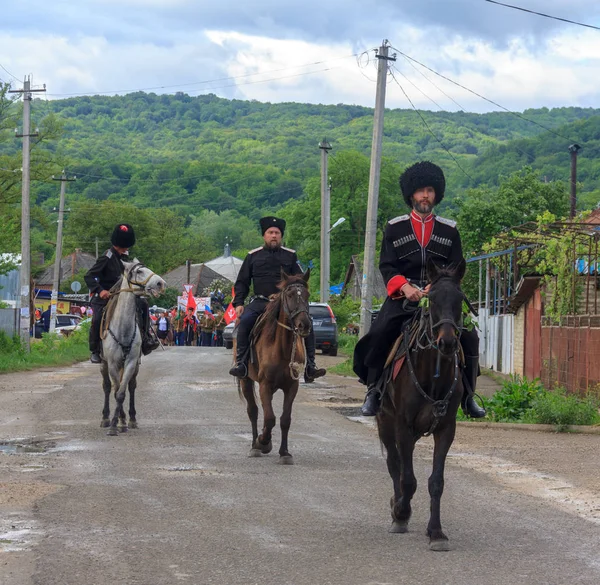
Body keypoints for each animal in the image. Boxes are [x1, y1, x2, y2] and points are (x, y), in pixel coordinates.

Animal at [100, 258, 166, 434]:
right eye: (139, 271)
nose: (160, 283)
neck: (122, 328)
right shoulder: (112, 364)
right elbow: (115, 391)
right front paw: (114, 424)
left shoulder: (130, 362)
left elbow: (122, 393)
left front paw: (121, 422)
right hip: (103, 364)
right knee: (107, 387)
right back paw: (105, 418)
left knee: (131, 386)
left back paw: (131, 419)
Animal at [239, 270, 314, 466]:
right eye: (289, 295)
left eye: (307, 295)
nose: (304, 325)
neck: (282, 348)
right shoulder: (265, 385)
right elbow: (269, 417)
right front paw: (262, 442)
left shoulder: (292, 386)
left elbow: (284, 419)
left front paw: (284, 452)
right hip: (245, 380)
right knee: (253, 411)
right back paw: (255, 445)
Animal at [378, 258, 466, 548]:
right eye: (433, 299)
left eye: (460, 299)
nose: (447, 342)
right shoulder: (403, 426)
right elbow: (407, 478)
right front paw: (400, 512)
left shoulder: (446, 429)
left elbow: (435, 481)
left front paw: (436, 532)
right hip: (385, 423)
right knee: (394, 464)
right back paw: (398, 508)